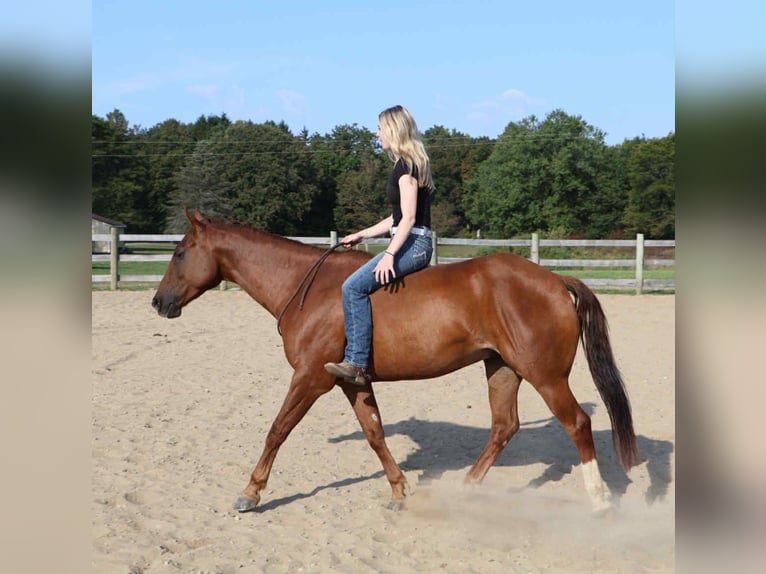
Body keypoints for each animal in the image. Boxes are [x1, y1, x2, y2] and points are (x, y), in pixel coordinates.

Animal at [152, 210, 639, 513]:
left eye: (179, 253)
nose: (158, 302)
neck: (309, 287)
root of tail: (554, 280)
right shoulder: (351, 380)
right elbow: (374, 433)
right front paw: (400, 490)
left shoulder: (310, 378)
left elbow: (277, 430)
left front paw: (250, 492)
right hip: (503, 369)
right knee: (505, 427)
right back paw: (466, 490)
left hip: (545, 375)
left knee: (576, 423)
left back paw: (599, 499)